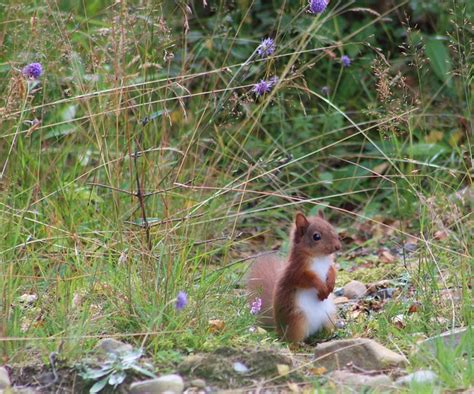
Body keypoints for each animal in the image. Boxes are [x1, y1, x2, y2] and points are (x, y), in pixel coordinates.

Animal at [246, 212, 342, 342]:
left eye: (332, 228)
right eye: (316, 236)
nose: (338, 246)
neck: (319, 257)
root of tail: (278, 329)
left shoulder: (329, 265)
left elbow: (332, 271)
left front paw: (331, 283)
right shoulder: (295, 272)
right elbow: (308, 279)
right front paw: (321, 288)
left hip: (329, 316)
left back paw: (330, 335)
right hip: (297, 320)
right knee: (291, 339)